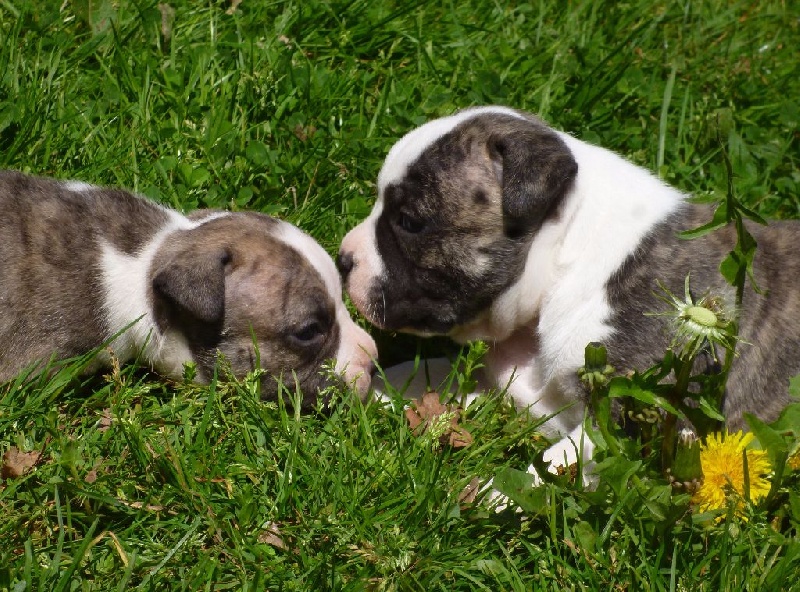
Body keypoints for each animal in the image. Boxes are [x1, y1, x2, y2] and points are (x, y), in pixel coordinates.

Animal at [338, 104, 800, 470]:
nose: (343, 259)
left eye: (409, 221)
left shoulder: (630, 421)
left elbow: (549, 471)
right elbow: (427, 373)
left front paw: (489, 496)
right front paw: (361, 382)